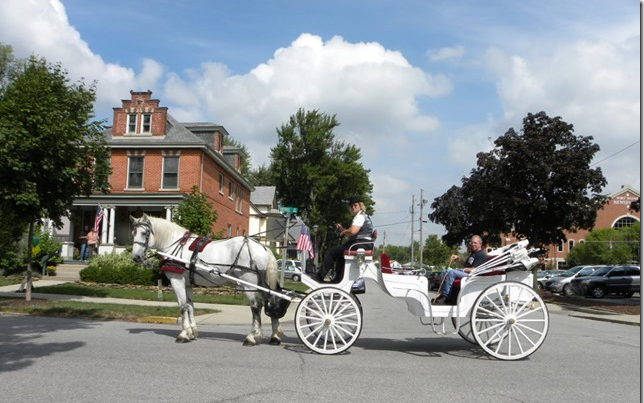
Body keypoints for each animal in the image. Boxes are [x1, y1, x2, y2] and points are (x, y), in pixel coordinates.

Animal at [130, 215, 286, 348]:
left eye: (145, 233)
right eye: (133, 233)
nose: (136, 257)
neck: (174, 245)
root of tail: (263, 248)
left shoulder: (177, 281)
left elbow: (182, 306)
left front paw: (183, 334)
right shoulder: (188, 284)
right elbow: (190, 306)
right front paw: (192, 333)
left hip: (249, 282)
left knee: (256, 306)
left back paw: (252, 337)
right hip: (261, 282)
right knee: (271, 301)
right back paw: (275, 336)